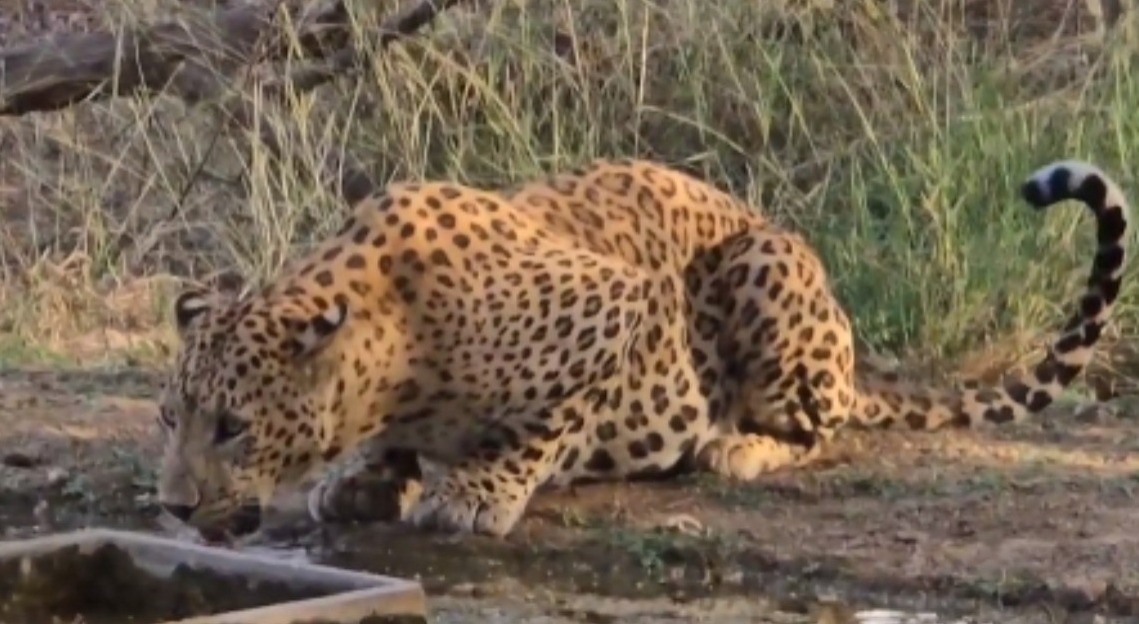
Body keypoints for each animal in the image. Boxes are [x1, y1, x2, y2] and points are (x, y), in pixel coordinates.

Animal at [156, 158, 1125, 539]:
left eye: (233, 427)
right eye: (170, 418)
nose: (169, 506)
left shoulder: (618, 309)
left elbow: (537, 429)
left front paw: (473, 494)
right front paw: (364, 479)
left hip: (763, 266)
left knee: (826, 429)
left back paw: (737, 447)